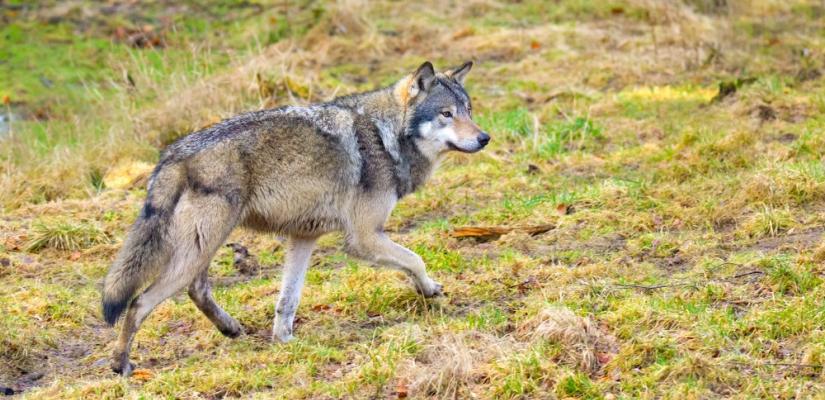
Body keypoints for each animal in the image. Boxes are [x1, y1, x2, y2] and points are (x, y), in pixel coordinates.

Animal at [103, 59, 490, 376]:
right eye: (446, 114)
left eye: (468, 110)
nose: (485, 137)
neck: (386, 137)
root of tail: (173, 154)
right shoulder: (364, 237)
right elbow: (415, 259)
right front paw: (430, 290)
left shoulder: (304, 237)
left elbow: (287, 300)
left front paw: (284, 342)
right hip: (202, 246)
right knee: (139, 302)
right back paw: (121, 364)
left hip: (202, 247)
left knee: (196, 290)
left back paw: (231, 329)